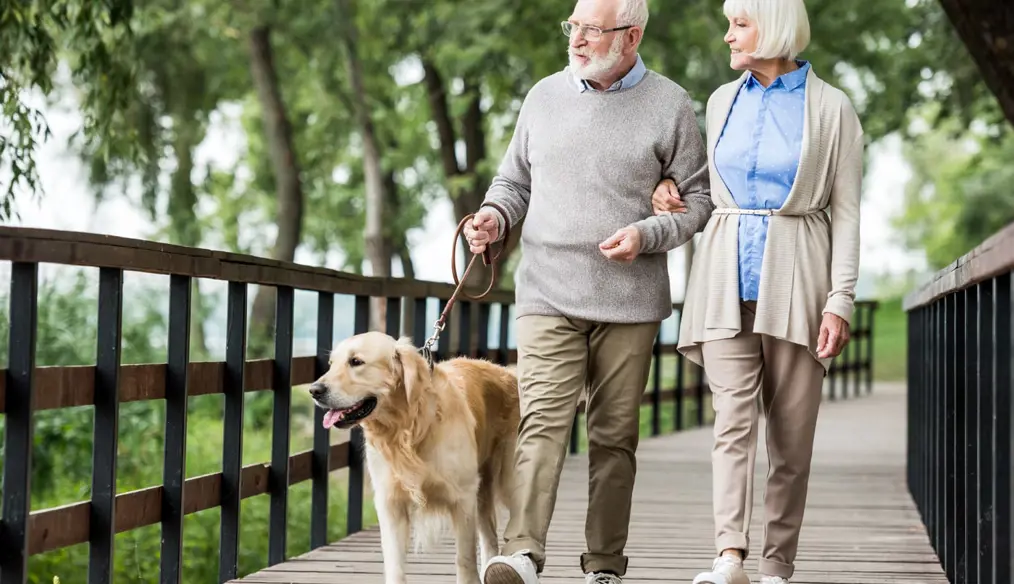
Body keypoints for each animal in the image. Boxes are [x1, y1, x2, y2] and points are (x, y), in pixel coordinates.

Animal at [306, 332, 515, 584]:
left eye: (356, 362)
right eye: (331, 364)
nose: (314, 390)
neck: (407, 429)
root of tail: (506, 372)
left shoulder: (463, 497)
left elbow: (464, 560)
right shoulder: (390, 502)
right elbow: (394, 562)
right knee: (490, 534)